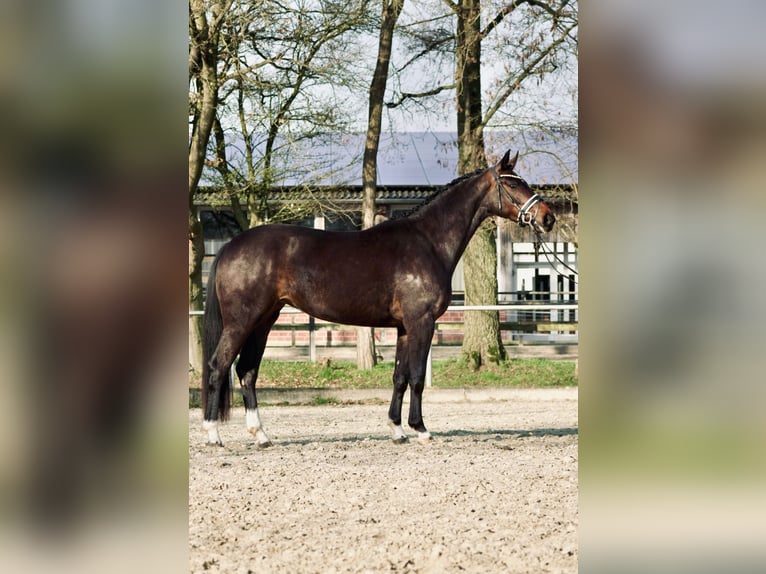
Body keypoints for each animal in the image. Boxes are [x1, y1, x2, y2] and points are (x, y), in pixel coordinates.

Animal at [201, 150, 555, 446]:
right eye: (513, 183)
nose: (547, 217)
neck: (427, 241)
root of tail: (230, 246)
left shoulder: (403, 327)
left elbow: (399, 376)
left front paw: (397, 430)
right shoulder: (421, 322)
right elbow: (416, 376)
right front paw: (421, 430)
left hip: (264, 321)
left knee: (246, 371)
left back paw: (261, 435)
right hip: (242, 322)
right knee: (219, 366)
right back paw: (213, 435)